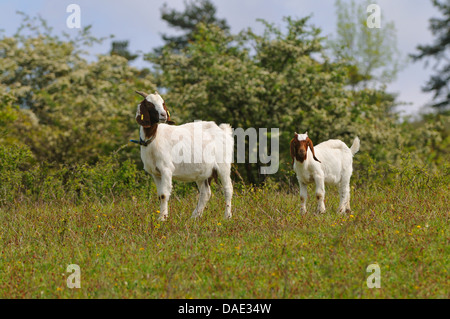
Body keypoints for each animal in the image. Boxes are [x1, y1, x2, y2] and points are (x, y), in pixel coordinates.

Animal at [134, 90, 234, 220]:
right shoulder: (155, 173)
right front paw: (161, 217)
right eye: (149, 104)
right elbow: (160, 195)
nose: (163, 115)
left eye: (163, 103)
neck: (153, 138)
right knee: (206, 193)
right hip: (202, 172)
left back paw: (227, 216)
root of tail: (222, 129)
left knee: (228, 189)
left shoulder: (166, 169)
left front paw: (162, 218)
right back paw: (194, 217)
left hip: (223, 165)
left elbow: (164, 194)